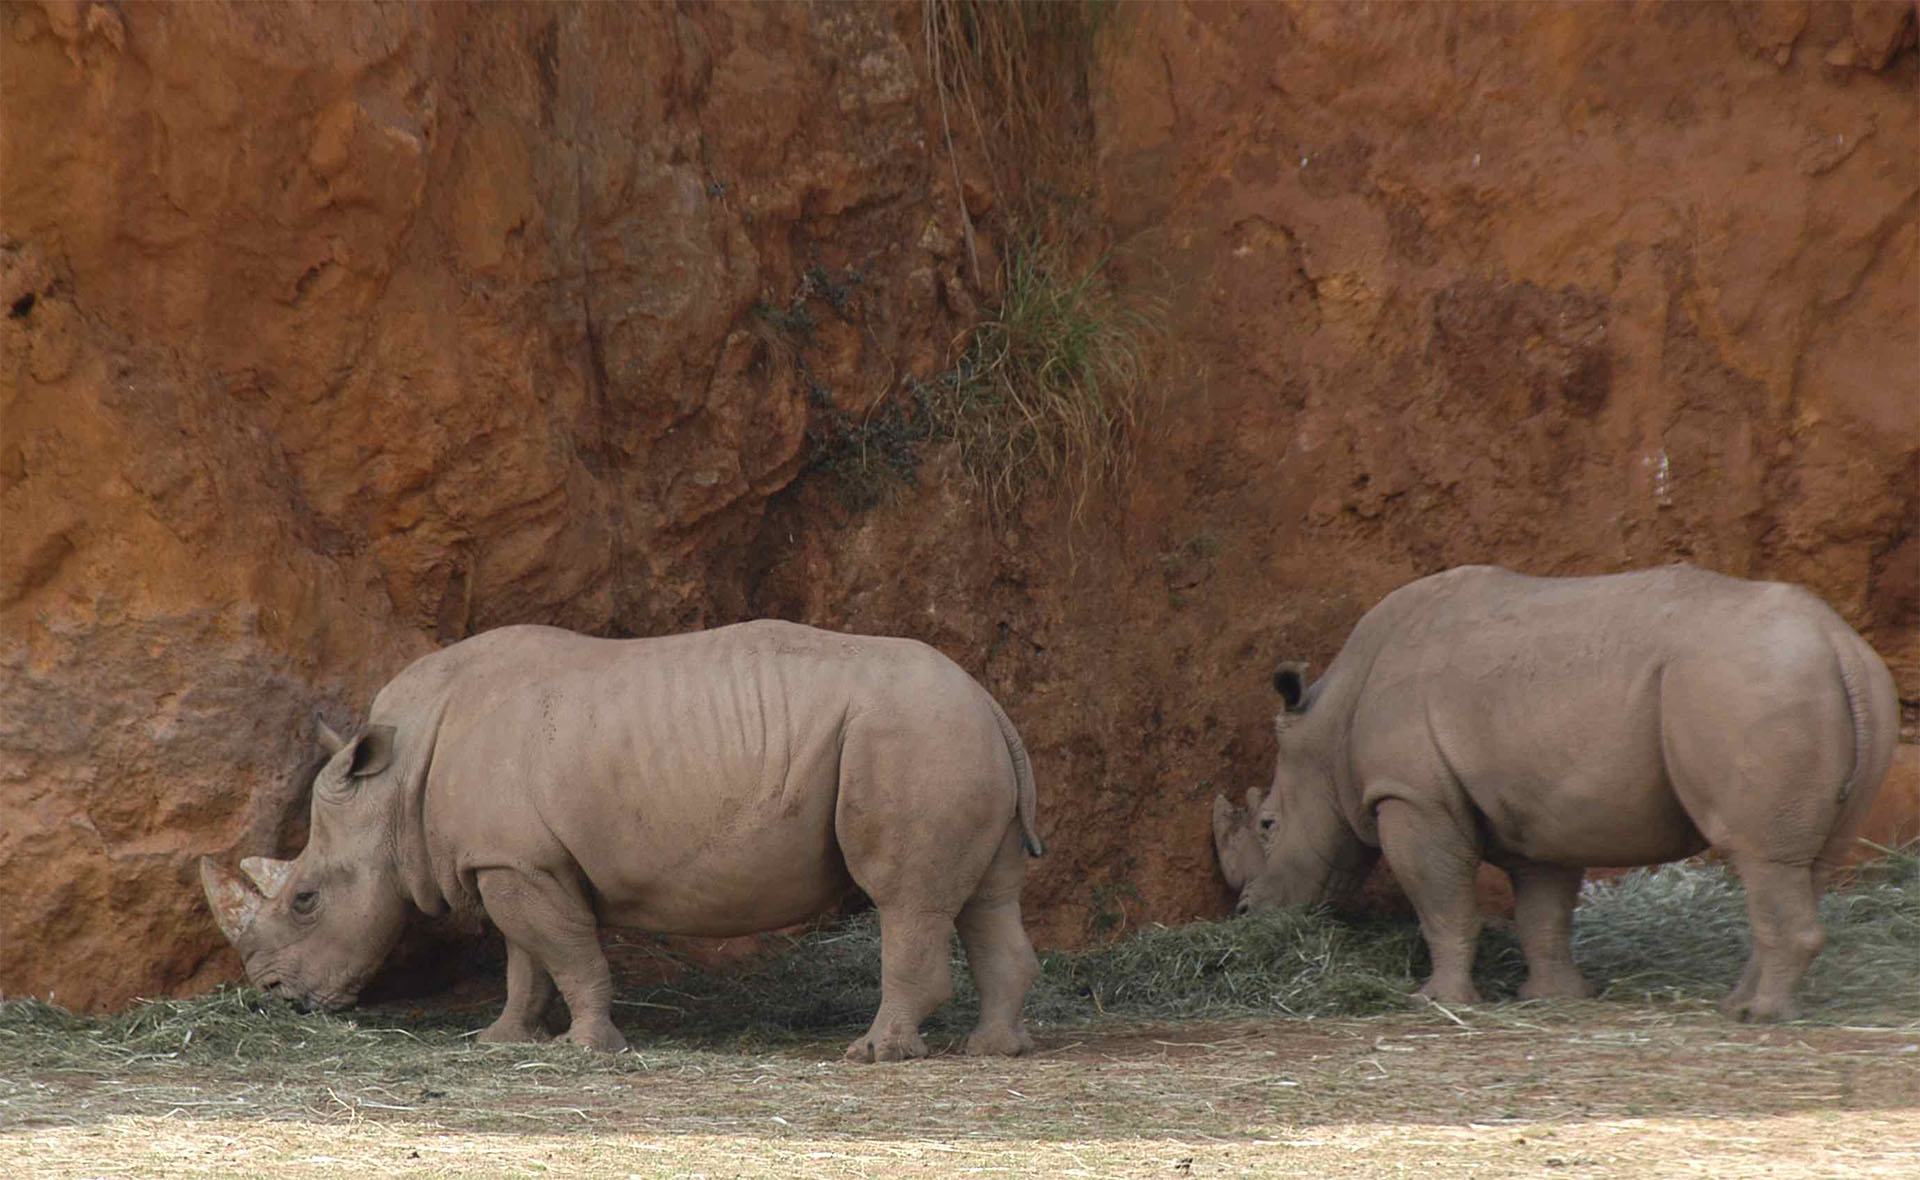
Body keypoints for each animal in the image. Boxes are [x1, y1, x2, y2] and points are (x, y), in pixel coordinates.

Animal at [194, 617, 1052, 1059]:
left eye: (305, 900)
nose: (273, 996)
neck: (394, 786)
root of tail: (990, 702)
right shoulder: (511, 858)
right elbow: (525, 961)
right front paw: (501, 1040)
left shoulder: (520, 861)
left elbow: (566, 952)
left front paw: (588, 1046)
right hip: (950, 737)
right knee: (986, 898)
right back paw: (995, 1049)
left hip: (911, 736)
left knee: (905, 898)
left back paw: (876, 1052)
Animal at [1221, 567, 1896, 1020]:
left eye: (1268, 824)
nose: (1245, 914)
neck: (1329, 723)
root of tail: (1837, 640)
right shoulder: (1539, 809)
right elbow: (1542, 911)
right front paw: (1552, 998)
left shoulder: (1410, 796)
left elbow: (1442, 901)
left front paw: (1437, 1002)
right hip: (1838, 685)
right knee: (1808, 862)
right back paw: (1741, 1003)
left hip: (1748, 682)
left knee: (1760, 855)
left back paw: (1756, 1016)